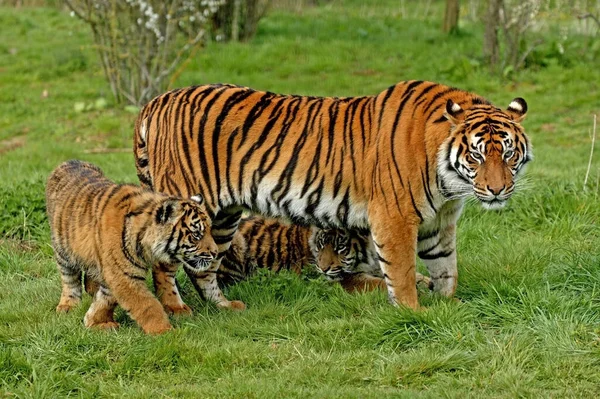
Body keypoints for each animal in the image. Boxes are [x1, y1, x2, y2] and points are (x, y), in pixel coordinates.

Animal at [136, 81, 528, 310]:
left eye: (508, 154)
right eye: (476, 156)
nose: (497, 190)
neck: (450, 182)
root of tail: (156, 101)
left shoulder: (440, 222)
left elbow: (446, 267)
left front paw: (448, 308)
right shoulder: (395, 217)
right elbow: (401, 273)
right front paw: (414, 314)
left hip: (221, 219)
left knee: (203, 266)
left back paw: (224, 308)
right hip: (188, 204)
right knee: (164, 263)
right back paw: (177, 311)